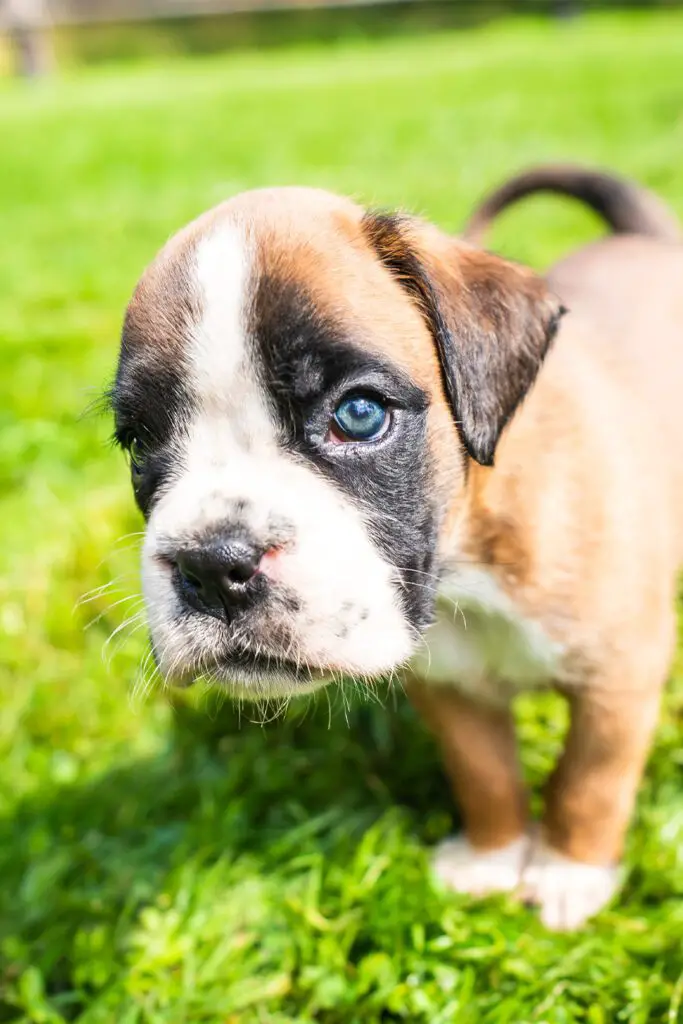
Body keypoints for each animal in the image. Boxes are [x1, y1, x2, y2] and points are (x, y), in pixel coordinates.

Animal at [112, 165, 683, 929]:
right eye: (139, 442)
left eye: (359, 414)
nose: (211, 564)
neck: (467, 568)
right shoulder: (446, 685)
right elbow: (484, 773)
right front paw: (493, 856)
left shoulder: (618, 678)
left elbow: (588, 781)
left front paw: (568, 872)